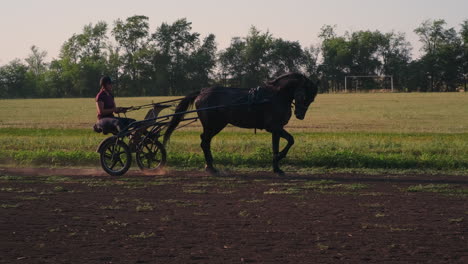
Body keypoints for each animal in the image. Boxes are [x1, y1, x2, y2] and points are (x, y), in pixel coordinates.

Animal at [163, 72, 320, 174]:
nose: (300, 115)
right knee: (204, 142)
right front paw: (279, 158)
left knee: (205, 142)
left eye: (312, 99)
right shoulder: (274, 127)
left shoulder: (276, 129)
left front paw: (277, 167)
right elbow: (291, 140)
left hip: (216, 125)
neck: (275, 96)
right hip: (213, 125)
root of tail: (202, 92)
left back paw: (210, 165)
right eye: (305, 97)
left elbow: (276, 146)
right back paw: (210, 167)